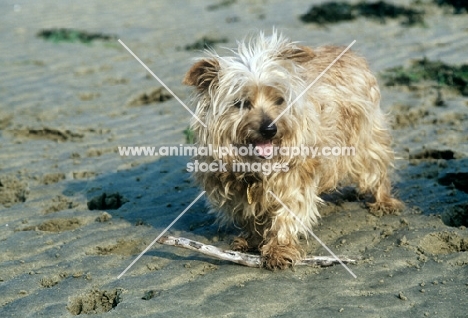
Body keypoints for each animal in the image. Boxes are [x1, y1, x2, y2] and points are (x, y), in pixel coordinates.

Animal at [183, 31, 402, 270]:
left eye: (279, 100)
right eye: (241, 103)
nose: (269, 129)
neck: (256, 165)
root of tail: (348, 51)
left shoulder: (294, 180)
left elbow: (287, 214)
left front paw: (278, 250)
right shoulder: (233, 190)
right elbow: (249, 217)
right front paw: (252, 240)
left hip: (366, 137)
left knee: (376, 165)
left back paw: (383, 201)